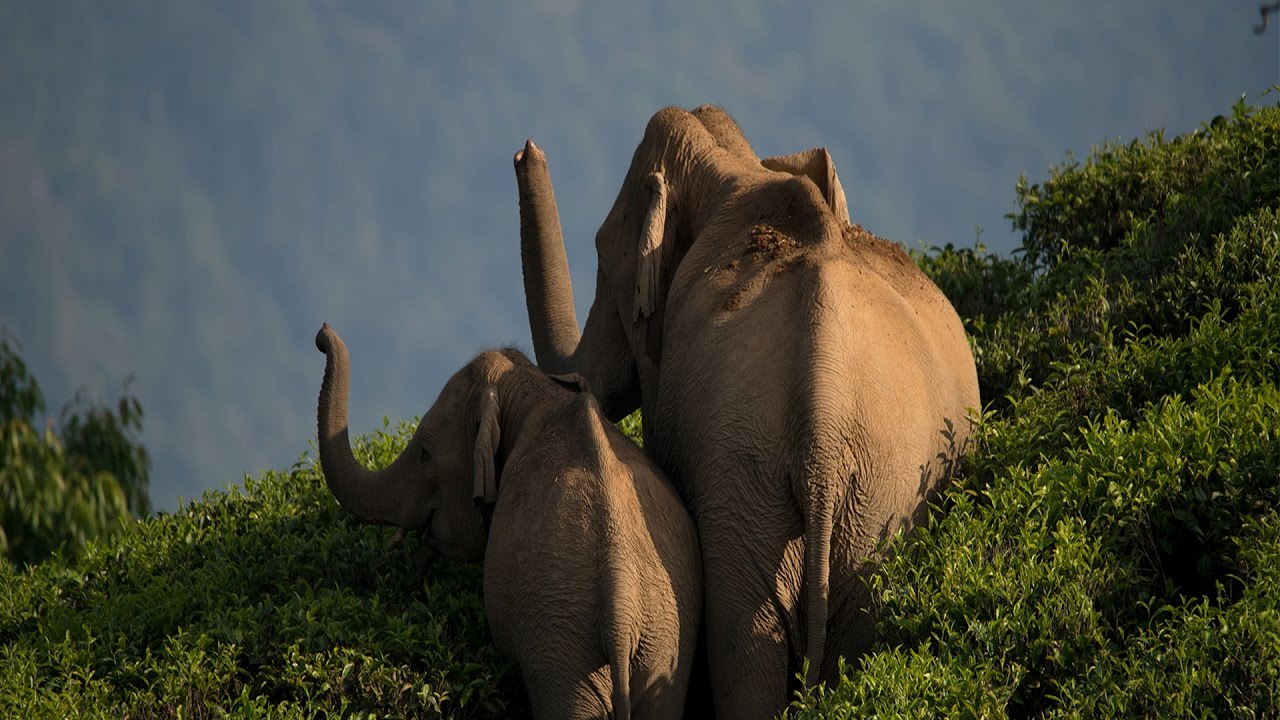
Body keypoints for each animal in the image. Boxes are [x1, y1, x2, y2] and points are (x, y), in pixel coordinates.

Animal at [314, 323, 702, 720]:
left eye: (425, 454)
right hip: (660, 649)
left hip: (562, 647)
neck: (535, 391)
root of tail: (619, 615)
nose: (322, 335)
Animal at [514, 105, 980, 717]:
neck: (735, 168)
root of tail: (823, 412)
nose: (525, 149)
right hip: (869, 494)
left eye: (602, 263)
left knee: (745, 646)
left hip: (785, 478)